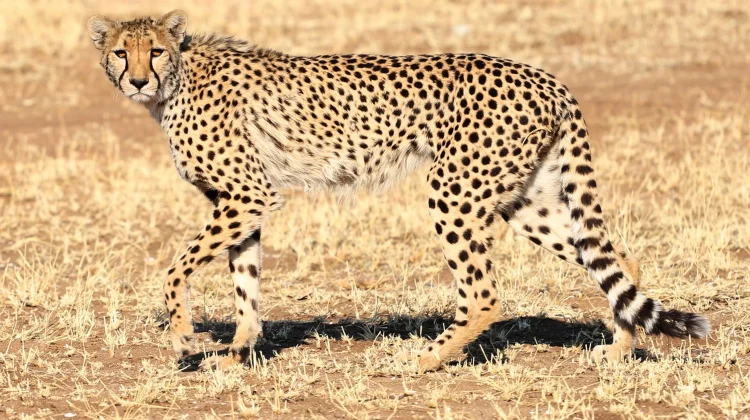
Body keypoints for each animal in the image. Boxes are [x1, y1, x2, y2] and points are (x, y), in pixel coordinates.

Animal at [87, 10, 710, 371]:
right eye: (121, 51)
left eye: (155, 51)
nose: (137, 79)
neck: (178, 79)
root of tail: (545, 77)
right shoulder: (241, 202)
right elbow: (246, 283)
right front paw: (237, 353)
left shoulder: (248, 195)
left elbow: (175, 268)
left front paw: (183, 337)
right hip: (520, 197)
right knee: (614, 258)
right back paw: (622, 347)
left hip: (454, 190)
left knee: (484, 295)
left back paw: (422, 360)